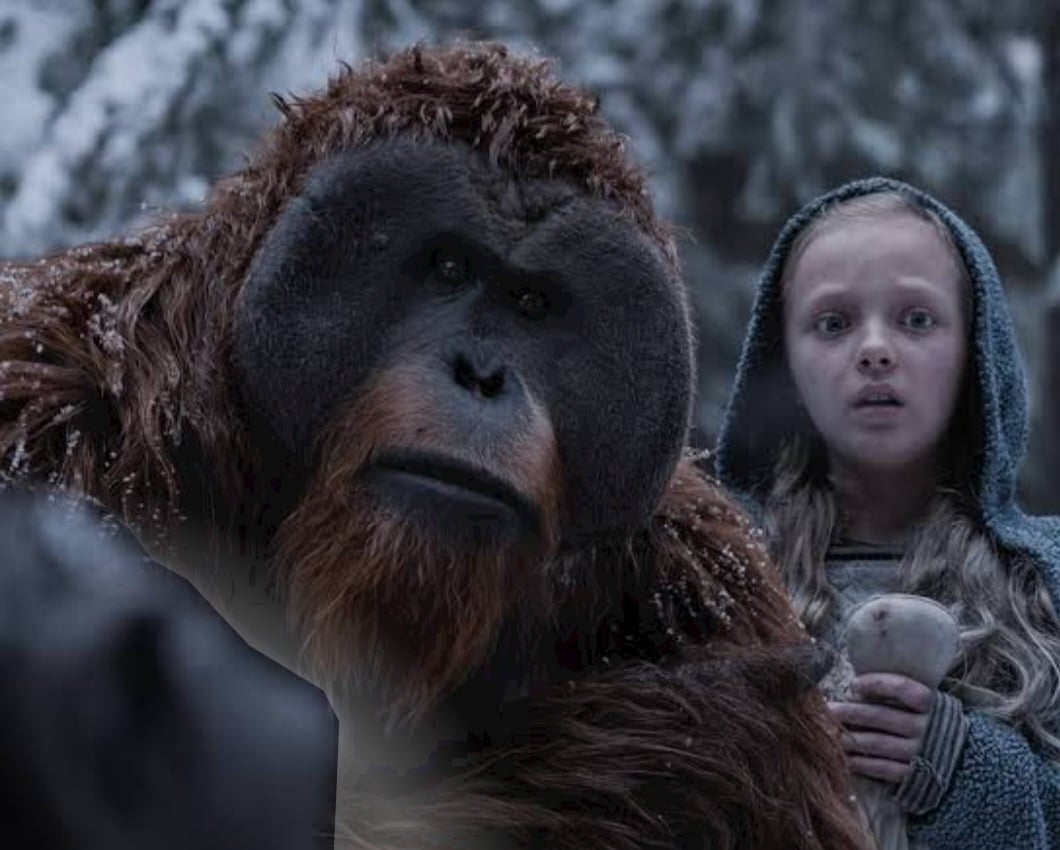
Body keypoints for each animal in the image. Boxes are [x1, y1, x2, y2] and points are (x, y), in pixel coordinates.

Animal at [0, 42, 869, 849]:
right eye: (448, 267)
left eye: (531, 305)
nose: (480, 373)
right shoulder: (51, 420)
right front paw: (691, 735)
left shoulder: (710, 579)